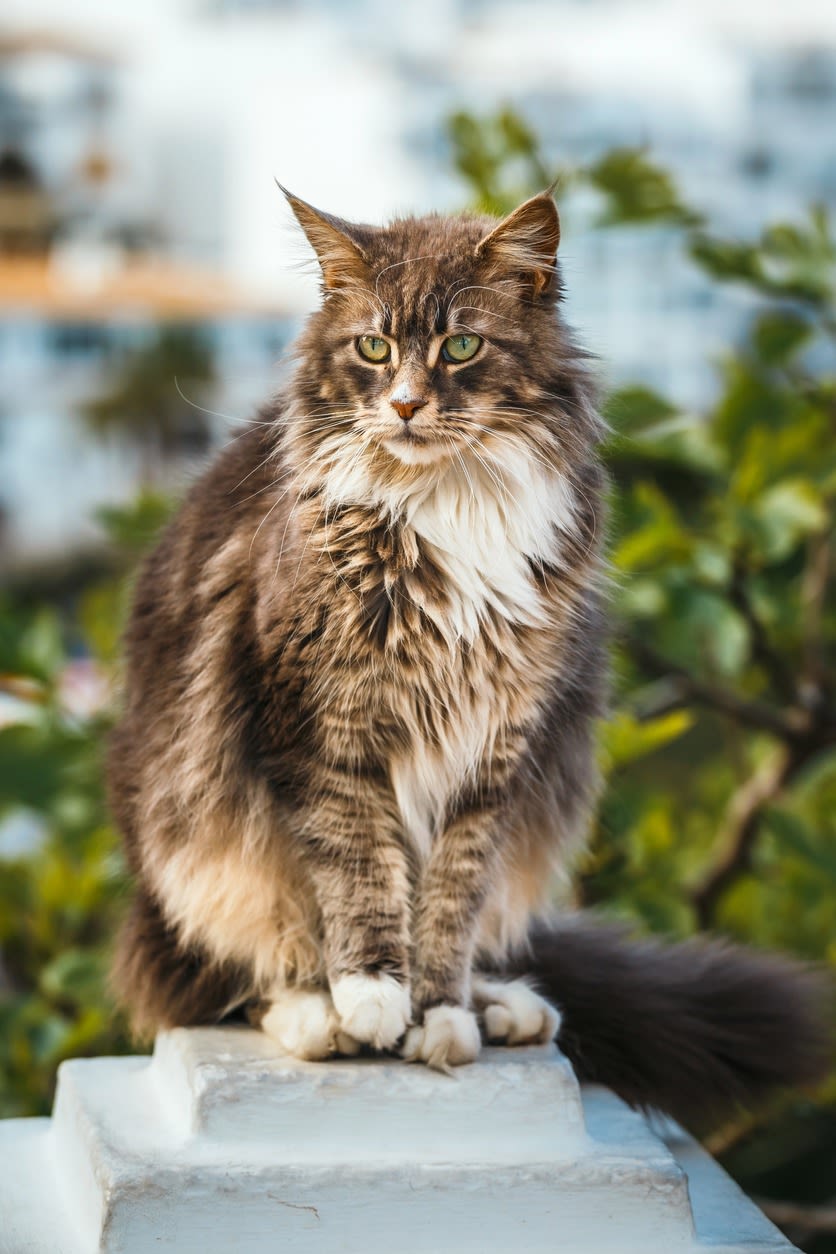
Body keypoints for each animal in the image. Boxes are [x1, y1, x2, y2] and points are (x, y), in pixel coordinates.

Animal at [107, 193, 827, 1118]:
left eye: (461, 347)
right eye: (373, 349)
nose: (408, 405)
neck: (445, 501)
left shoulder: (496, 751)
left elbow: (451, 896)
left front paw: (440, 1011)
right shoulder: (321, 727)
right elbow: (359, 863)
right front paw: (374, 996)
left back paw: (503, 1006)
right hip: (191, 844)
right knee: (222, 974)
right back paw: (317, 1014)